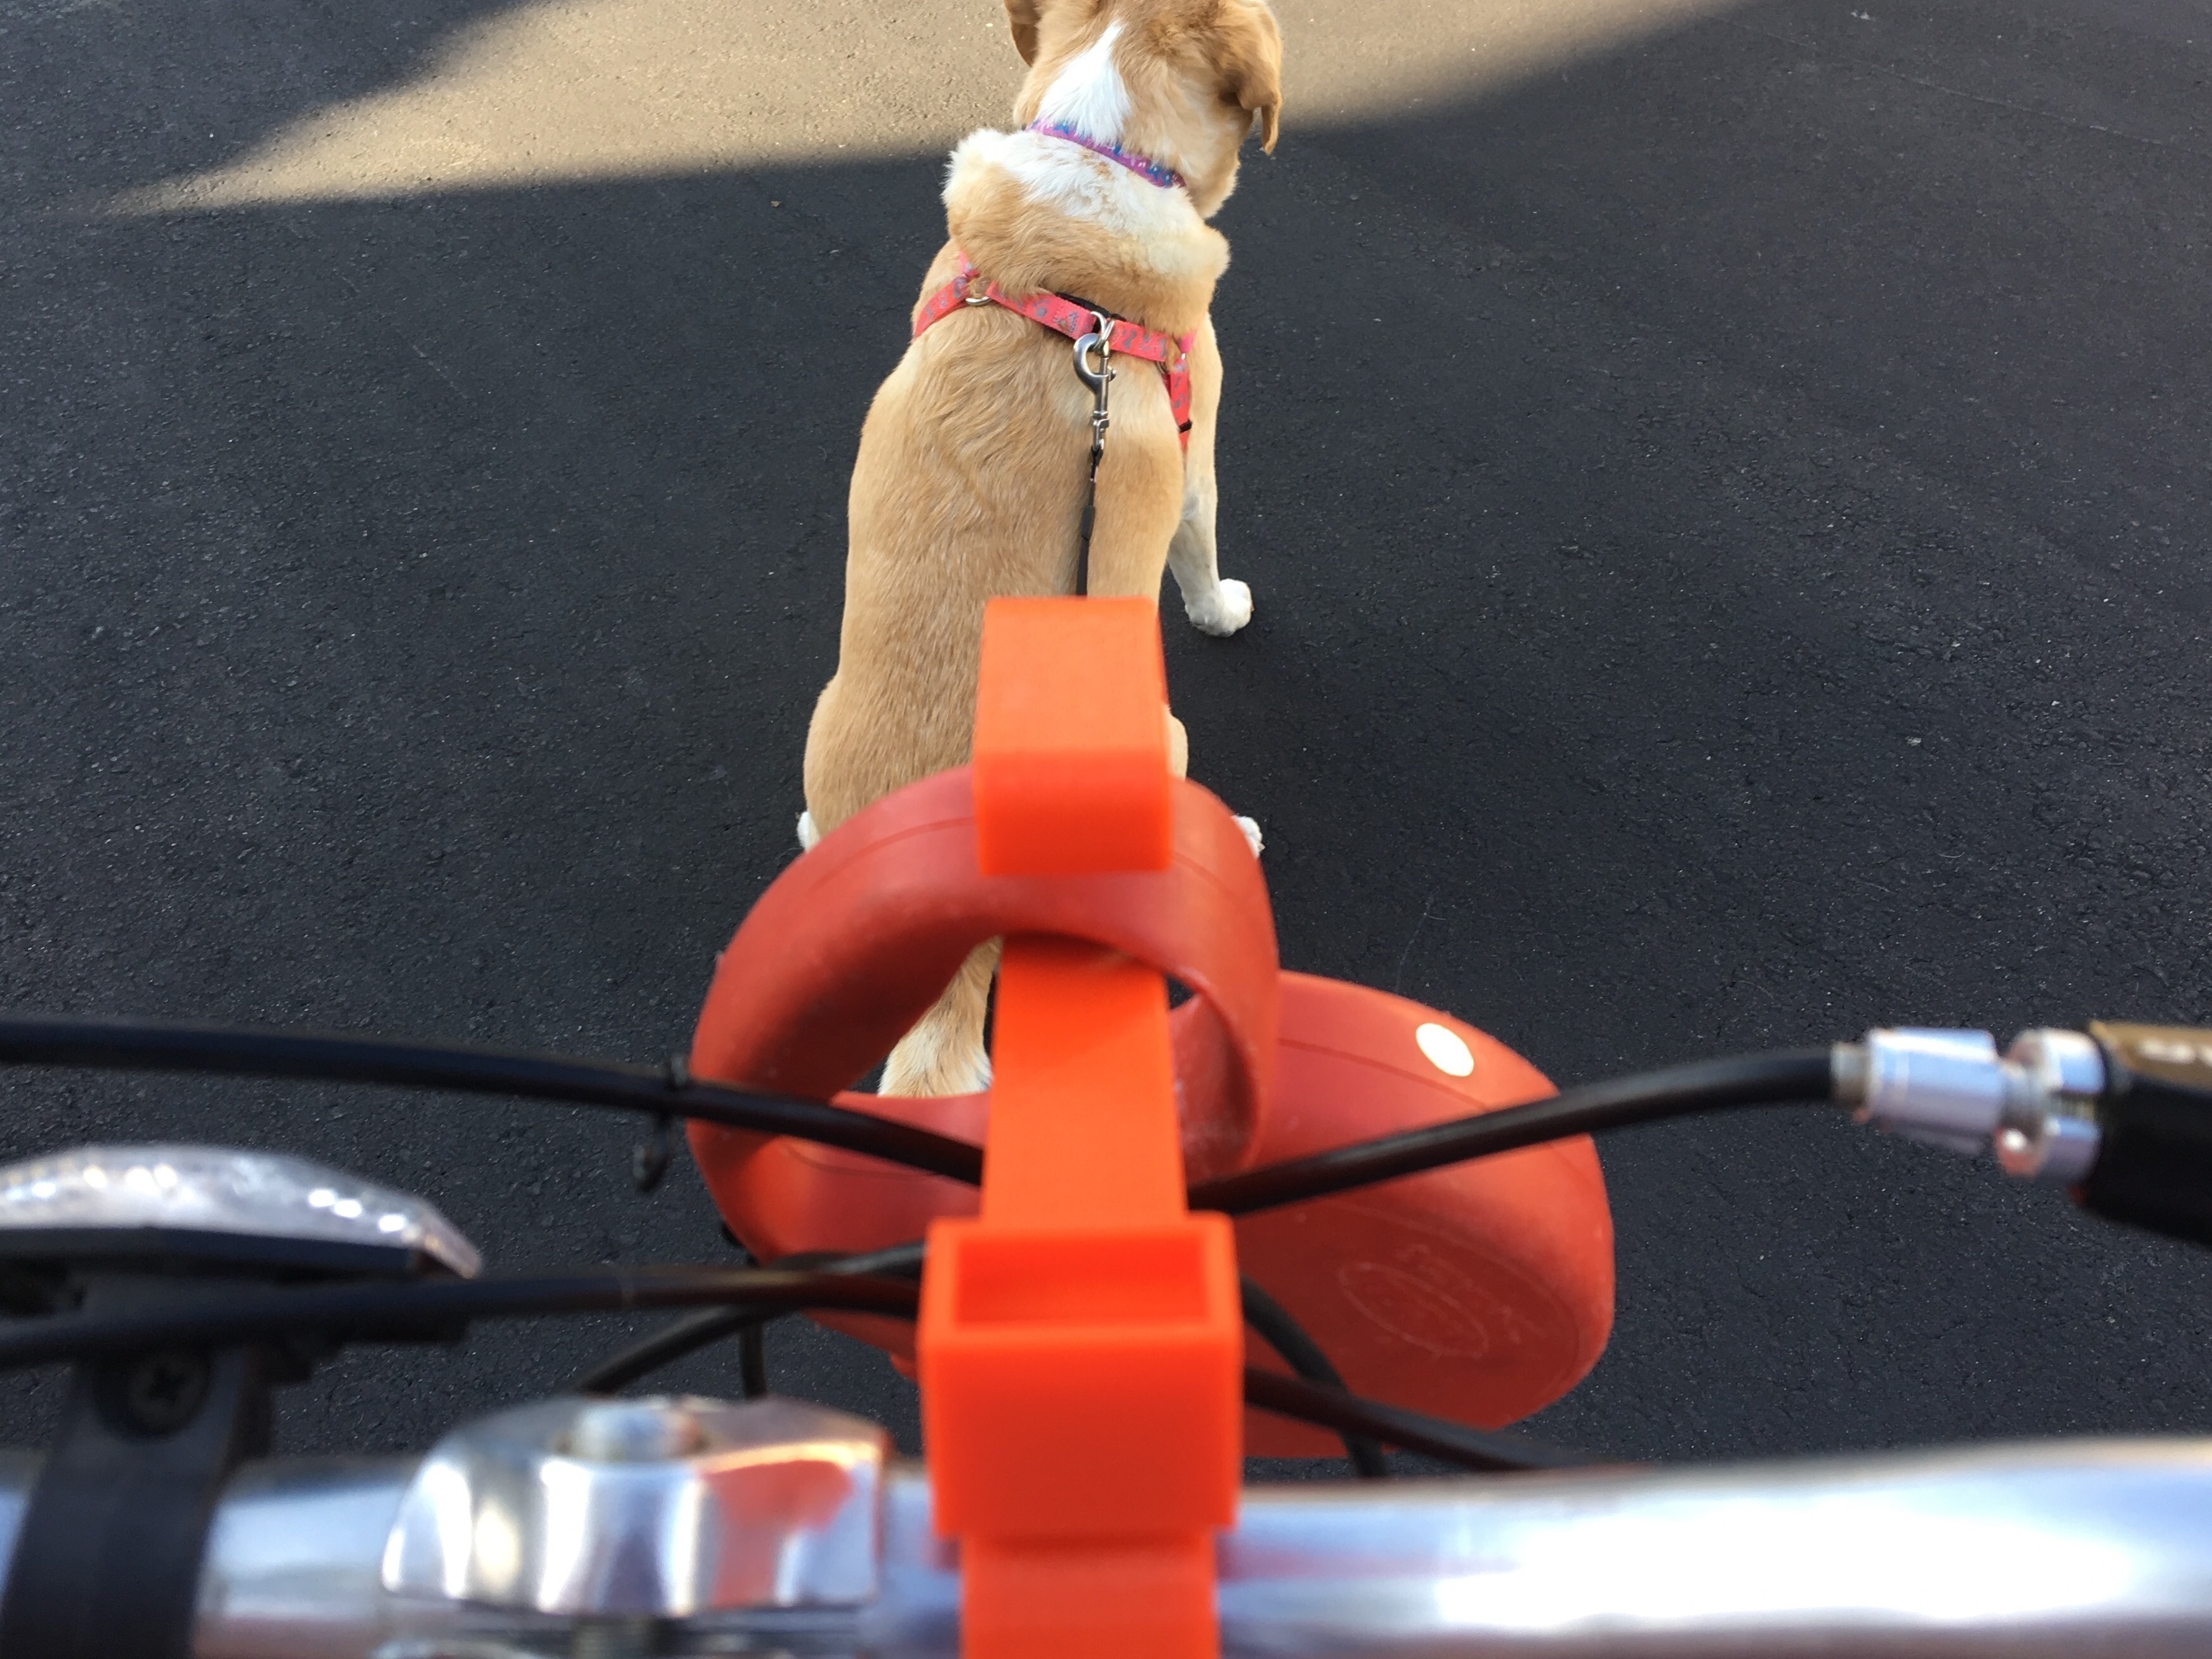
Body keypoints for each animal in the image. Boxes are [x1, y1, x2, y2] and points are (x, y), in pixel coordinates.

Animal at [796, 0, 1283, 1097]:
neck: (1097, 150)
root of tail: (950, 968)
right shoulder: (1195, 452)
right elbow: (1201, 549)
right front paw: (1223, 610)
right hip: (1162, 733)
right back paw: (1233, 836)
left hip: (823, 716)